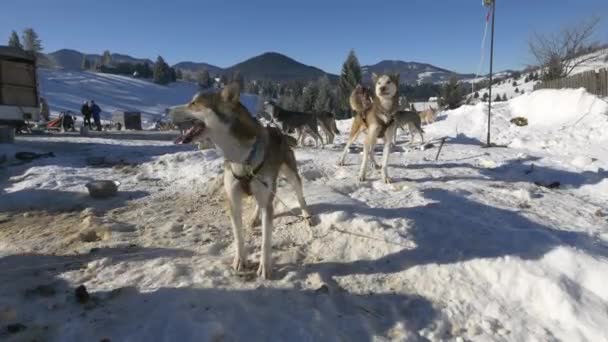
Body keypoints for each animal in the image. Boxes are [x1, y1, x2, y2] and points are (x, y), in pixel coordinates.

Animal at [171, 82, 314, 278]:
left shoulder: (266, 200)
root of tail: (276, 131)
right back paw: (254, 217)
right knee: (259, 203)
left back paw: (306, 214)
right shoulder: (233, 200)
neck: (241, 157)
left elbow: (265, 240)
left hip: (291, 176)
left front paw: (265, 266)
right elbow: (238, 235)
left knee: (299, 197)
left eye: (194, 103)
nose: (166, 109)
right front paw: (240, 260)